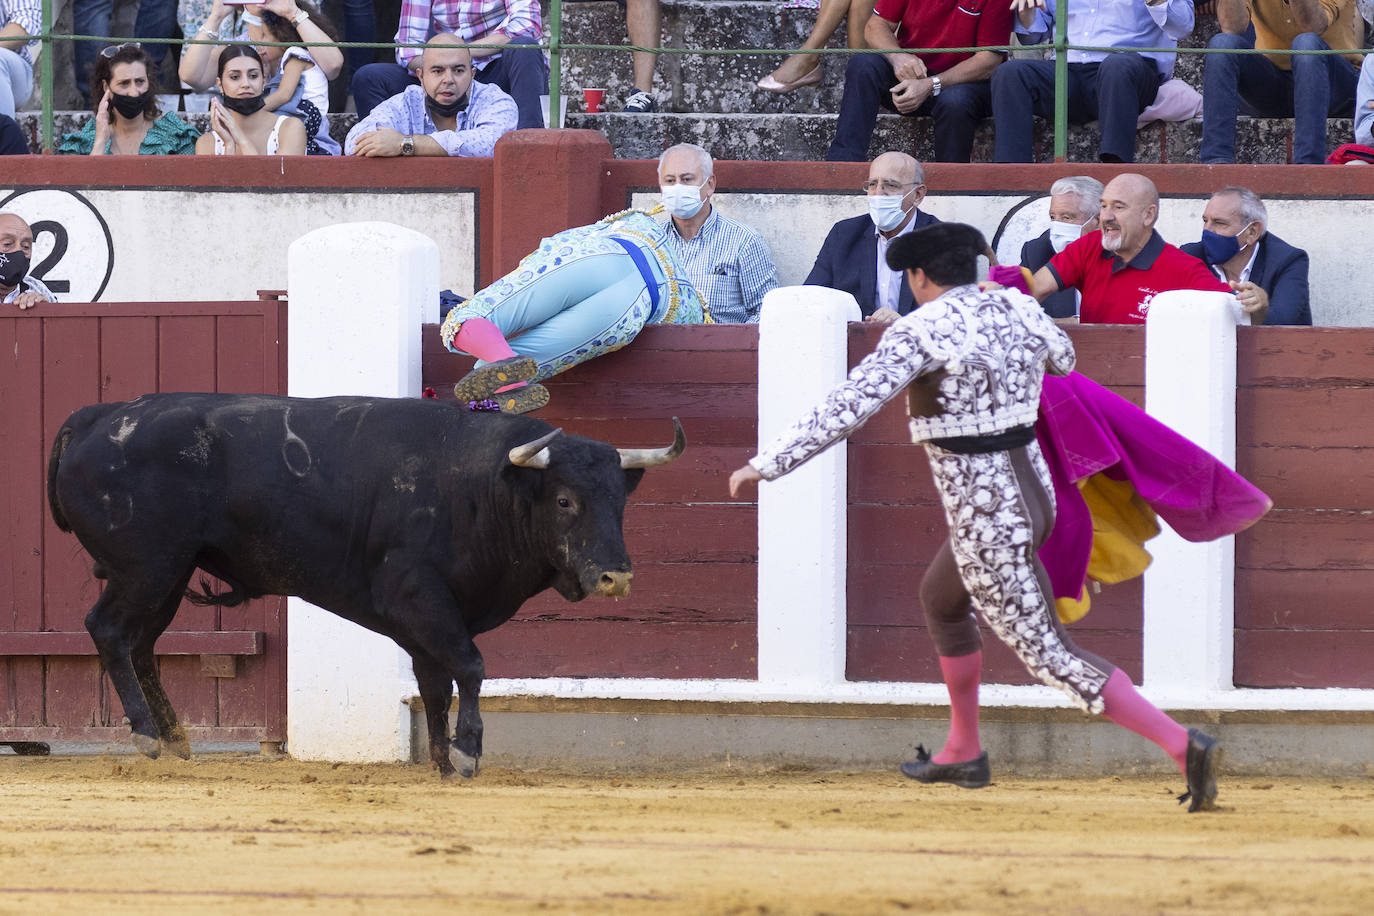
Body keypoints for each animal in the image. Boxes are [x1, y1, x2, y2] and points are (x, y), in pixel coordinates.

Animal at [48, 395, 687, 780]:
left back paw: (176, 738)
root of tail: (98, 417)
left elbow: (434, 682)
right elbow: (470, 666)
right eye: (565, 500)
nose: (616, 576)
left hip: (169, 574)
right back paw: (144, 735)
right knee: (108, 631)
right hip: (146, 568)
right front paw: (467, 752)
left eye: (621, 501)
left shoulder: (430, 618)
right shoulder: (419, 597)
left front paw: (441, 761)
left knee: (142, 643)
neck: (480, 485)